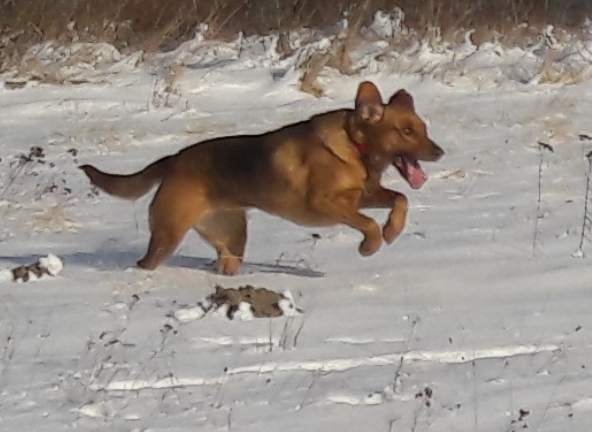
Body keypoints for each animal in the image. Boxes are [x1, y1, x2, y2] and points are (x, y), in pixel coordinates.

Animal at [82, 82, 444, 276]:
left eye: (423, 128)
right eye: (406, 131)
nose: (440, 151)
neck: (356, 148)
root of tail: (172, 161)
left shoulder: (362, 196)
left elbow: (400, 199)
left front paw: (392, 230)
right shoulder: (325, 203)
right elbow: (367, 224)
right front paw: (370, 245)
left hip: (232, 239)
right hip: (167, 234)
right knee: (146, 261)